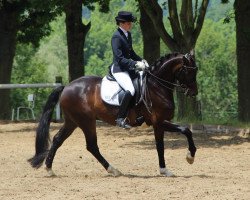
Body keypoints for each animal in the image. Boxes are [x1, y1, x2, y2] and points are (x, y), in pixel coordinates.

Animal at [28, 52, 198, 177]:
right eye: (189, 71)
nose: (194, 93)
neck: (156, 86)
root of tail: (66, 87)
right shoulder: (159, 121)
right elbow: (177, 135)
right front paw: (185, 159)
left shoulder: (160, 123)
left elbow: (170, 140)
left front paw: (173, 165)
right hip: (86, 122)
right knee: (92, 146)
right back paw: (113, 170)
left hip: (73, 122)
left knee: (58, 139)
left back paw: (49, 169)